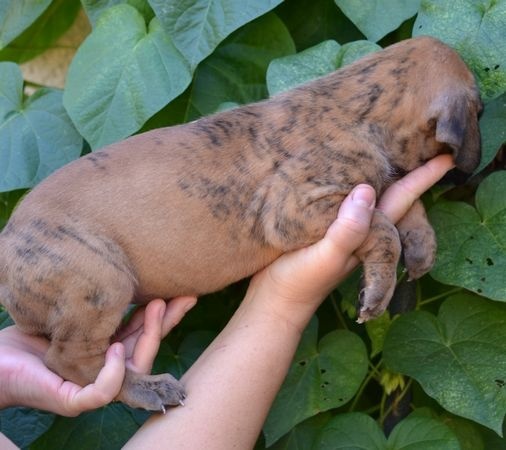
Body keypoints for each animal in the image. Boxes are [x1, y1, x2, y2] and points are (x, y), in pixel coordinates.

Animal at [0, 37, 482, 412]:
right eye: (478, 109)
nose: (475, 168)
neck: (356, 106)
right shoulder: (295, 211)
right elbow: (381, 226)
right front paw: (379, 291)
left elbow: (400, 200)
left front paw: (421, 243)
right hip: (100, 279)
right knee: (71, 361)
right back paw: (145, 387)